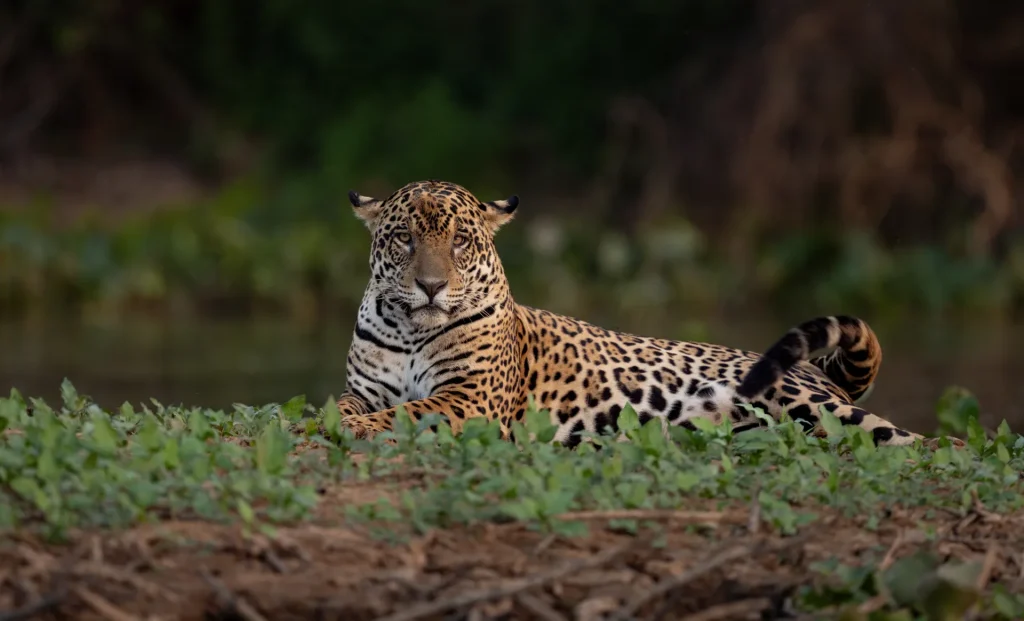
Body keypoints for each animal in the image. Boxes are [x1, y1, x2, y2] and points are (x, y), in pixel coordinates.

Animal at [334, 179, 961, 450]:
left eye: (460, 241)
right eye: (406, 238)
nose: (431, 287)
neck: (412, 332)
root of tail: (818, 374)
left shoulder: (472, 398)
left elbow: (410, 412)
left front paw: (361, 428)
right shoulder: (365, 387)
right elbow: (345, 405)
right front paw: (335, 421)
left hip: (816, 405)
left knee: (925, 442)